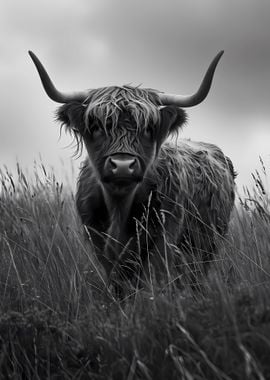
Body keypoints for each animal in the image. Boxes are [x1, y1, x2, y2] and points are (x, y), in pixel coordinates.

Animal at [29, 50, 235, 288]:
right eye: (97, 127)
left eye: (148, 128)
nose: (122, 166)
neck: (119, 207)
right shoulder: (98, 242)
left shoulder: (165, 239)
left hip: (207, 244)